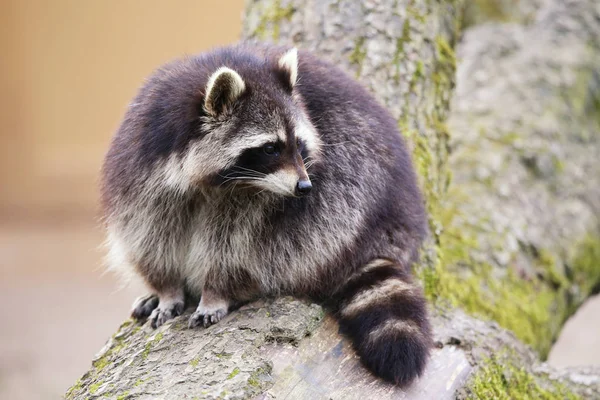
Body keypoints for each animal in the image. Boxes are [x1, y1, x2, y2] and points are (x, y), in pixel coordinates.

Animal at [102, 43, 432, 384]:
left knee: (312, 230)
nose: (304, 186)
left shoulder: (256, 199)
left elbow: (236, 249)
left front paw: (215, 291)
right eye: (270, 148)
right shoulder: (143, 166)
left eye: (299, 144)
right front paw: (166, 289)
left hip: (359, 182)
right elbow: (150, 234)